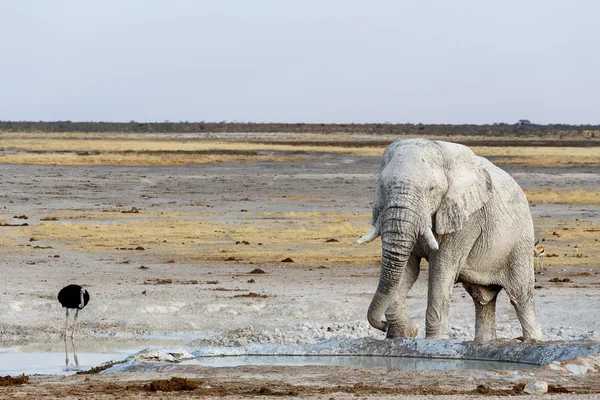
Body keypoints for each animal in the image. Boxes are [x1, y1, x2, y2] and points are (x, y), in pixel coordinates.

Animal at [356, 138, 544, 340]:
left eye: (431, 189)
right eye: (382, 186)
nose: (382, 326)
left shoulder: (467, 219)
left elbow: (442, 269)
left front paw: (432, 341)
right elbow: (407, 269)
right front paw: (403, 334)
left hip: (520, 242)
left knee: (521, 297)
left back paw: (534, 341)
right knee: (483, 300)